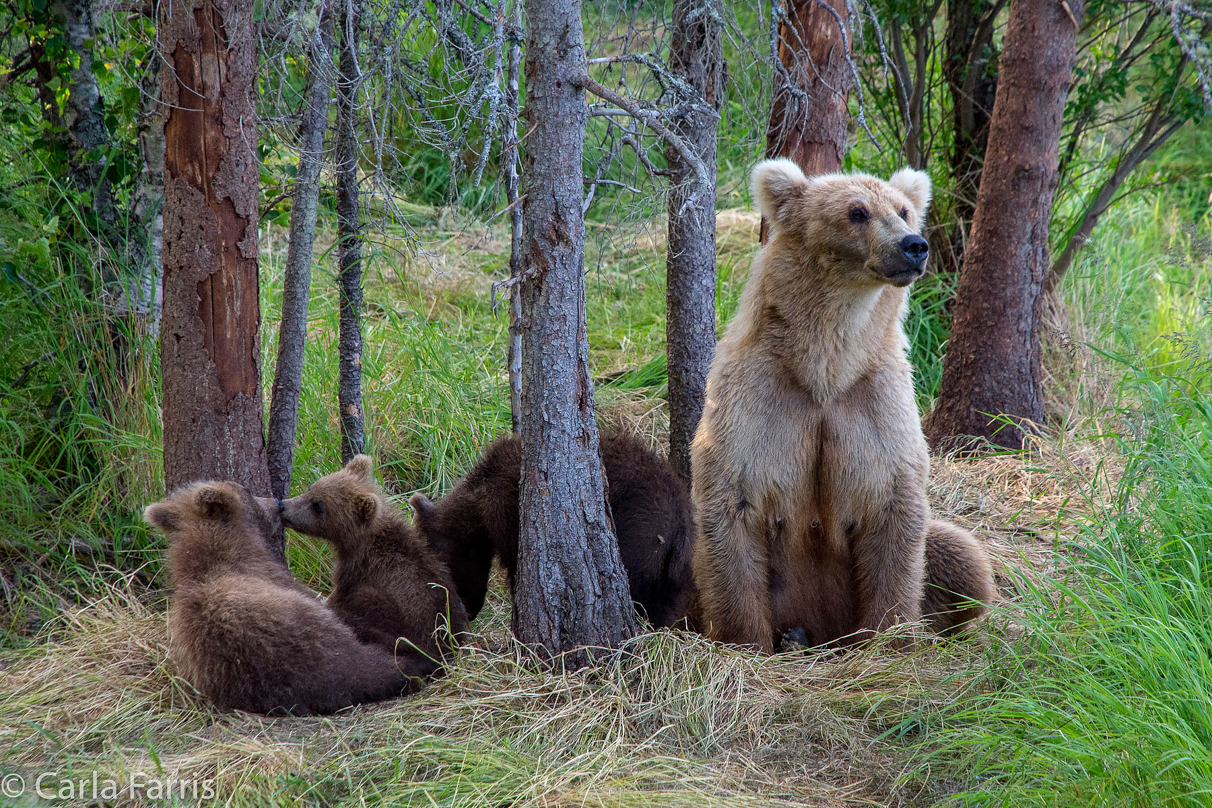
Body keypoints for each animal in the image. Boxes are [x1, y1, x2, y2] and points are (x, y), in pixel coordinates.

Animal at [407, 433, 698, 629]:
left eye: (445, 569)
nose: (467, 611)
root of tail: (680, 526)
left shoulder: (509, 516)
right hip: (671, 569)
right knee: (662, 604)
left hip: (639, 537)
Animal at [693, 161, 993, 654]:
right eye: (857, 211)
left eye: (904, 210)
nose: (914, 245)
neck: (826, 367)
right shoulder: (759, 396)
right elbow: (733, 502)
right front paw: (746, 641)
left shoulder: (874, 401)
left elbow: (894, 506)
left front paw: (890, 635)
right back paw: (792, 636)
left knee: (963, 556)